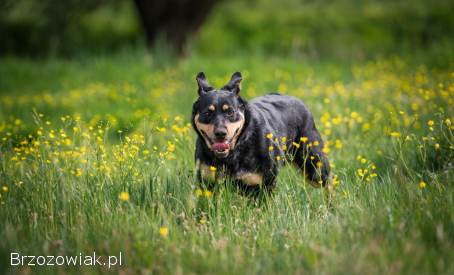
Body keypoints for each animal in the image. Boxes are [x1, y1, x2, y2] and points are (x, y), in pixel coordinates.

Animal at [190, 72, 332, 195]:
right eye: (207, 113)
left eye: (230, 112)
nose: (220, 133)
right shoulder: (207, 182)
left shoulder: (263, 185)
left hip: (313, 164)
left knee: (329, 181)